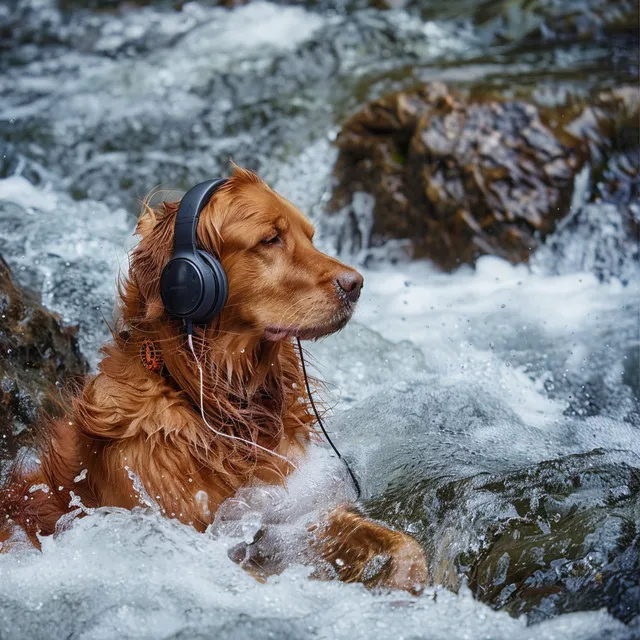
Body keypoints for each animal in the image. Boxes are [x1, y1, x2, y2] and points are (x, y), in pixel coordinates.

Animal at [1, 166, 430, 596]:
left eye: (310, 236)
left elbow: (405, 546)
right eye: (271, 239)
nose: (356, 284)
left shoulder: (291, 513)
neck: (222, 406)